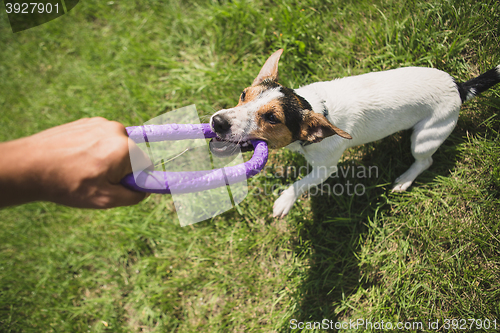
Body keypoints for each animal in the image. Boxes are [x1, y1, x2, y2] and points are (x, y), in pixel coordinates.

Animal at [209, 48, 500, 215]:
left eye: (272, 118)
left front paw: (285, 201)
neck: (314, 106)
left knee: (425, 161)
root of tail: (459, 88)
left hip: (424, 137)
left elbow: (301, 183)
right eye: (243, 94)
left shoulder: (325, 169)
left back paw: (406, 178)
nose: (217, 122)